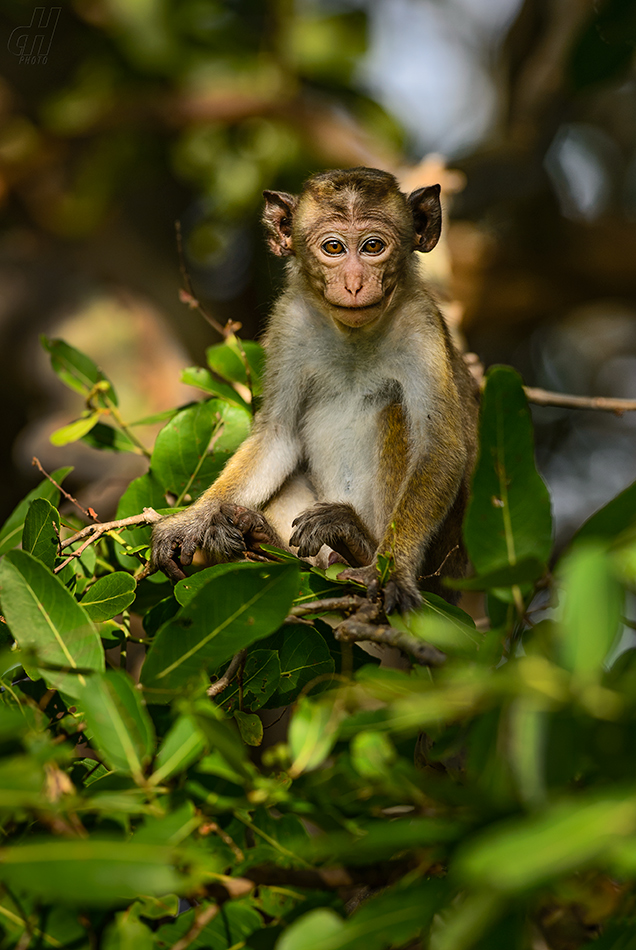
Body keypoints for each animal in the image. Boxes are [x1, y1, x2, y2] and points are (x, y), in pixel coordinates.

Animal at [152, 167, 480, 612]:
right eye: (333, 248)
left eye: (373, 246)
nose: (355, 283)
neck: (353, 335)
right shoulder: (289, 323)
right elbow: (277, 436)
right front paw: (194, 518)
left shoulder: (421, 326)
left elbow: (440, 448)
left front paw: (391, 570)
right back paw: (260, 537)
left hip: (442, 567)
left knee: (396, 411)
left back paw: (359, 543)